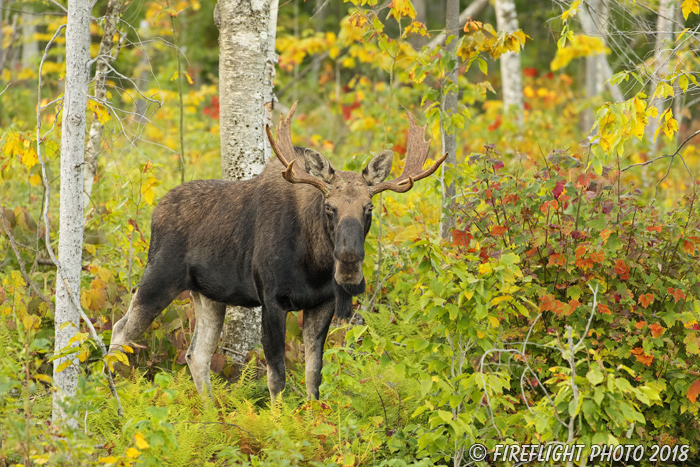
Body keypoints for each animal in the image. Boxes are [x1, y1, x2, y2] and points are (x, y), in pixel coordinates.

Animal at [109, 104, 448, 400]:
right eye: (329, 207)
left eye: (369, 207)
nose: (349, 262)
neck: (314, 264)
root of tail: (156, 211)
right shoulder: (271, 300)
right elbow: (277, 377)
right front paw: (278, 423)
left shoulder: (321, 303)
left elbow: (313, 375)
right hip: (159, 276)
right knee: (120, 332)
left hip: (208, 295)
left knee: (196, 354)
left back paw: (211, 412)